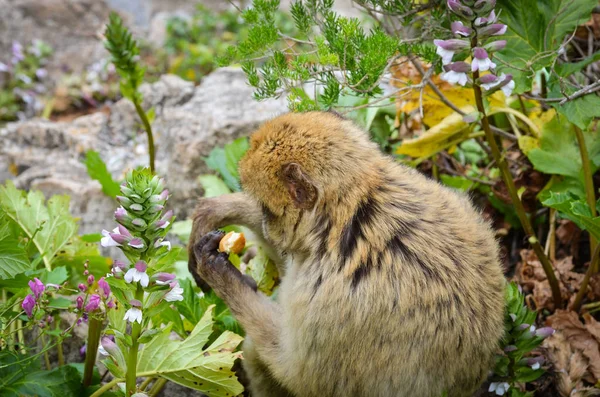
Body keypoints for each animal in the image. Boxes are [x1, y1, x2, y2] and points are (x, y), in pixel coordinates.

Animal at [188, 111, 506, 396]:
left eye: (269, 211)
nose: (267, 224)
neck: (352, 206)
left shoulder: (327, 301)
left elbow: (299, 375)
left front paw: (217, 270)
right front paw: (218, 209)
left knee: (257, 351)